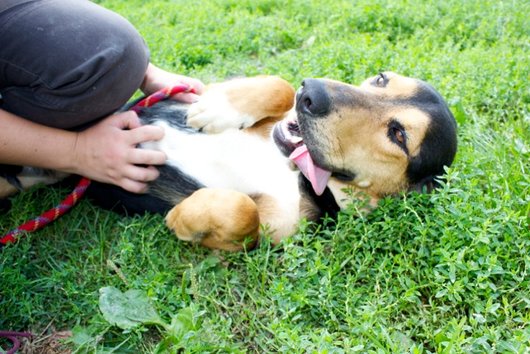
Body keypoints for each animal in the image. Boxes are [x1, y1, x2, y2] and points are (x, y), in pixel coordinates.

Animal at [0, 73, 454, 252]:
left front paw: (184, 217)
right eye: (380, 79)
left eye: (398, 135)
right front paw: (219, 109)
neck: (291, 171)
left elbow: (241, 211)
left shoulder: (270, 233)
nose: (312, 93)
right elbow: (276, 84)